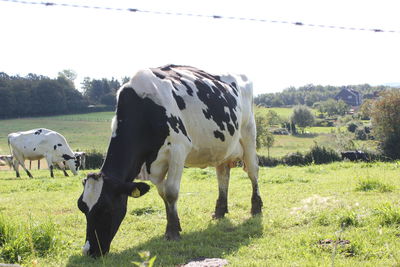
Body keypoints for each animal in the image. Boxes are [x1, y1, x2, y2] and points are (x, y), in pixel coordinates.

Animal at [77, 64, 262, 258]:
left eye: (106, 208)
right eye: (82, 207)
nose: (89, 251)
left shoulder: (178, 150)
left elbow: (172, 192)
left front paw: (172, 232)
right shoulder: (152, 165)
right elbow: (163, 194)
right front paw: (175, 225)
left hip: (249, 133)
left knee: (253, 171)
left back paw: (256, 208)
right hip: (222, 148)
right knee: (223, 175)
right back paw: (220, 211)